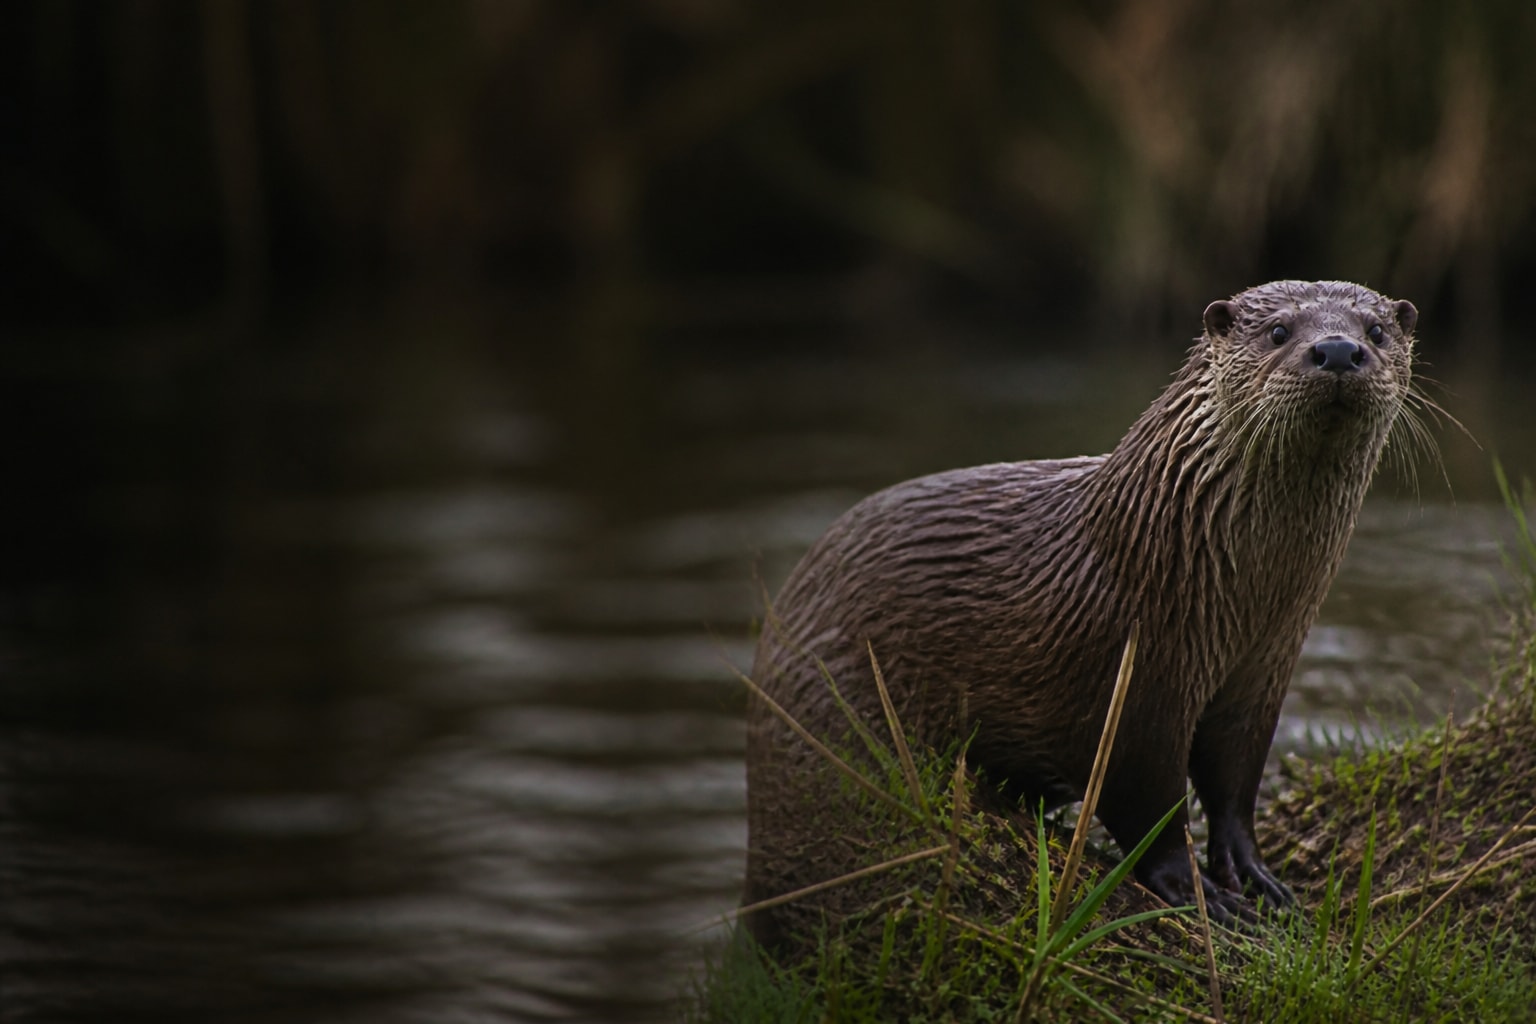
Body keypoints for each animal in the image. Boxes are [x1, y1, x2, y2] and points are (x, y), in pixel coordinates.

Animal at [743, 280, 1420, 944]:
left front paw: (1257, 878)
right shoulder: (1131, 684)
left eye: (1376, 331)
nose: (1338, 351)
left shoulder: (1261, 675)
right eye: (1279, 331)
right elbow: (1149, 808)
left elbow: (1234, 786)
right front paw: (1199, 895)